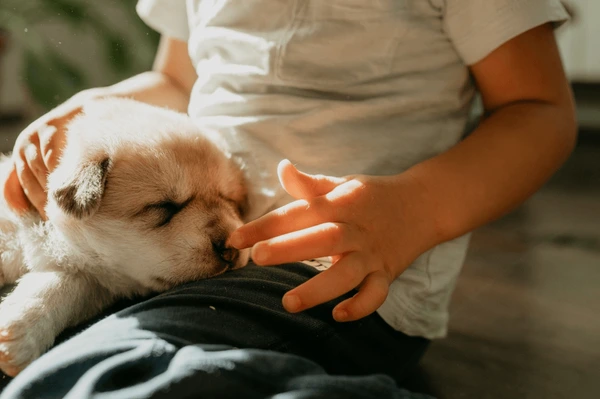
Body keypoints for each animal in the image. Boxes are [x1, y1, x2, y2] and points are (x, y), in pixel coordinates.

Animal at [0, 98, 250, 376]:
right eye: (165, 206)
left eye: (230, 200)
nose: (230, 247)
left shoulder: (92, 279)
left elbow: (61, 286)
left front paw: (19, 334)